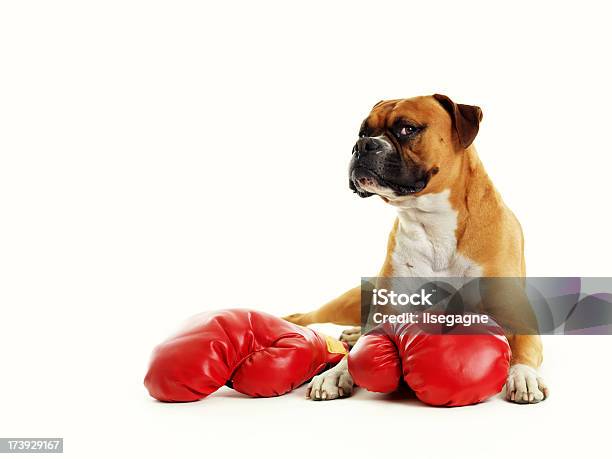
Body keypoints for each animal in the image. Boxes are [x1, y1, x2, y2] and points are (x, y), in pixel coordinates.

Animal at [284, 95, 548, 404]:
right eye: (363, 132)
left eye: (407, 129)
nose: (362, 145)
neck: (433, 224)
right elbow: (359, 349)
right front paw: (335, 373)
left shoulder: (518, 318)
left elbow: (524, 350)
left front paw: (524, 376)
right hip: (343, 303)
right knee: (303, 317)